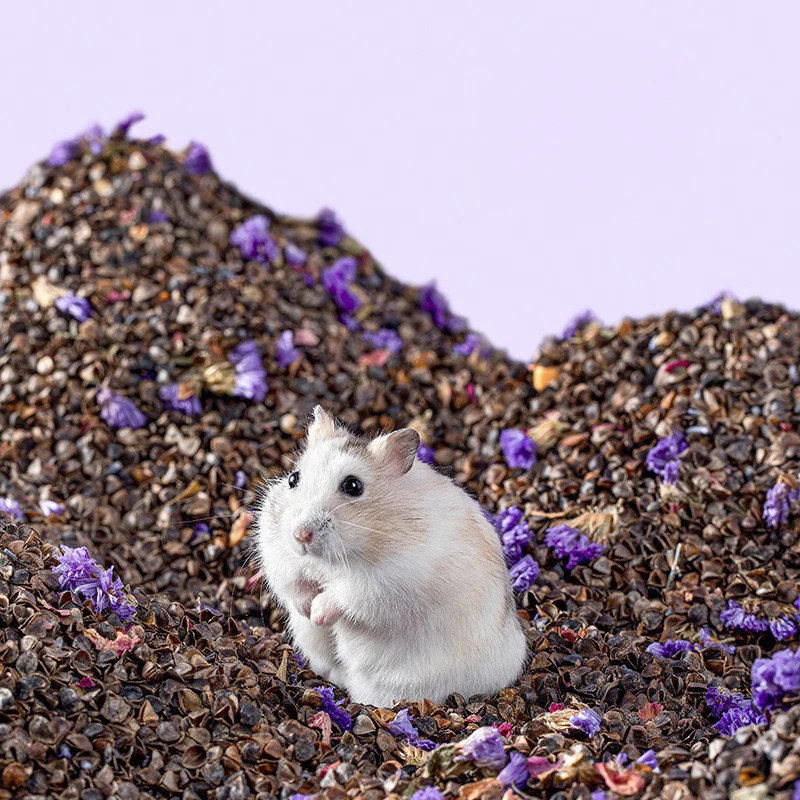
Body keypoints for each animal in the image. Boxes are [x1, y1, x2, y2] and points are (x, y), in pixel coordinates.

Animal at [256, 406, 527, 707]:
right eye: (293, 479)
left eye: (353, 486)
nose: (300, 535)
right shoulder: (277, 551)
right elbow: (293, 582)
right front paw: (306, 609)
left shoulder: (386, 582)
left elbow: (344, 596)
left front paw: (317, 612)